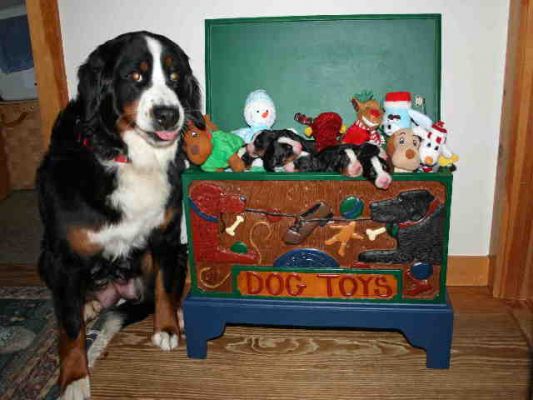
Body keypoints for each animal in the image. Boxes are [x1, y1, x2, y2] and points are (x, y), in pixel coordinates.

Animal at [35, 32, 202, 400]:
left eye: (175, 77)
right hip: (46, 259)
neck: (130, 158)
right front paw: (74, 378)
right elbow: (69, 329)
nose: (168, 114)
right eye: (135, 76)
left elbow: (164, 287)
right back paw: (88, 306)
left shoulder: (167, 235)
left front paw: (167, 328)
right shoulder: (63, 257)